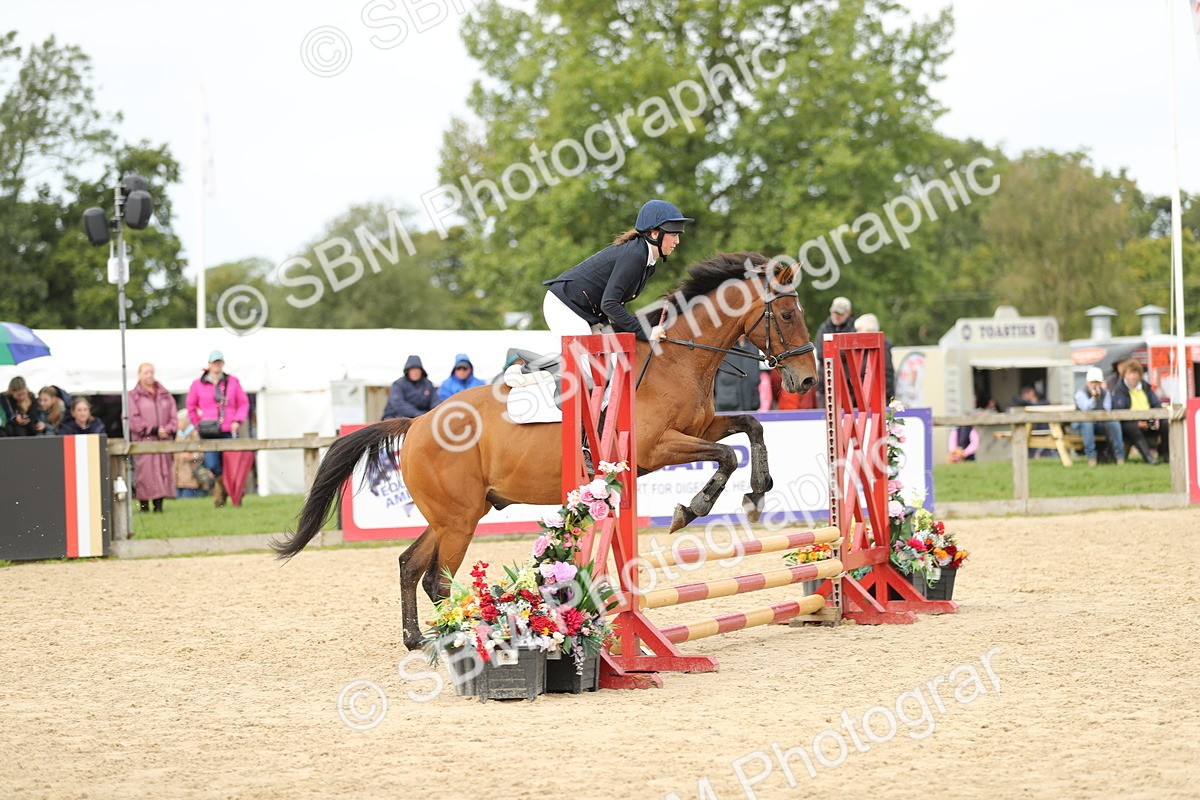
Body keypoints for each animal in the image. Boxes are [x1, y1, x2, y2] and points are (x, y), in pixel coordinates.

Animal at [271, 252, 819, 649]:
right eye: (786, 314)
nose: (807, 381)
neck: (677, 361)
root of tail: (419, 422)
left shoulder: (701, 426)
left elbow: (751, 429)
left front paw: (758, 492)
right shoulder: (656, 448)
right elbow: (726, 456)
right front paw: (695, 508)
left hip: (455, 513)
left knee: (410, 565)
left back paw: (415, 639)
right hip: (459, 519)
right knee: (437, 579)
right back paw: (451, 641)